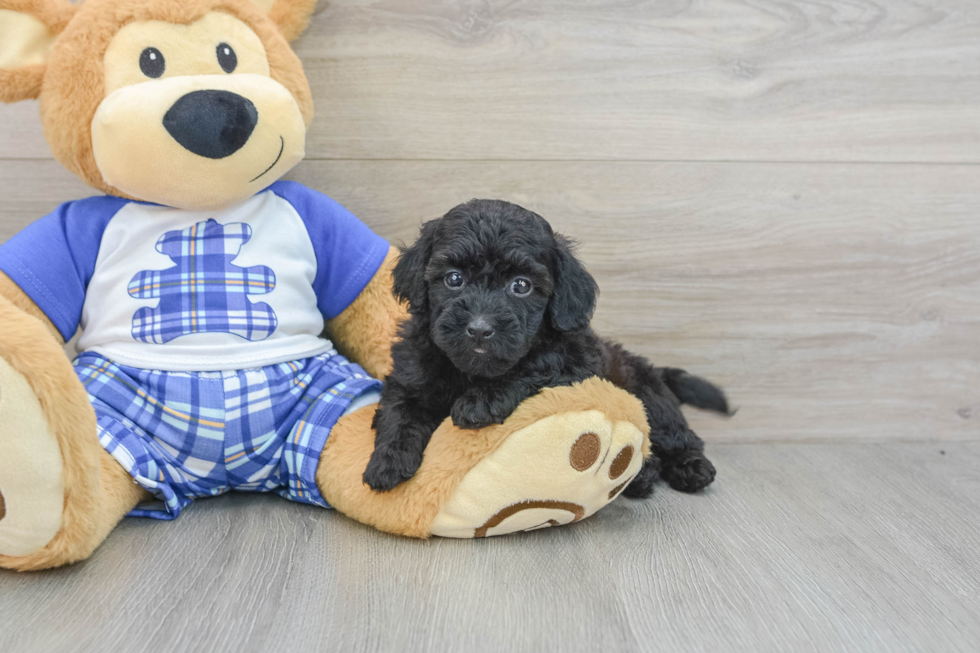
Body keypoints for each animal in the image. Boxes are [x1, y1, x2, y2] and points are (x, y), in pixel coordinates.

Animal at [362, 199, 728, 494]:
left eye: (521, 286)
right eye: (453, 278)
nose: (479, 329)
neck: (470, 371)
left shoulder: (575, 364)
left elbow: (535, 365)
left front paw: (481, 401)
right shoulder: (411, 373)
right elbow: (399, 411)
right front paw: (386, 462)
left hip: (649, 396)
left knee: (679, 436)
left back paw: (691, 468)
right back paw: (644, 475)